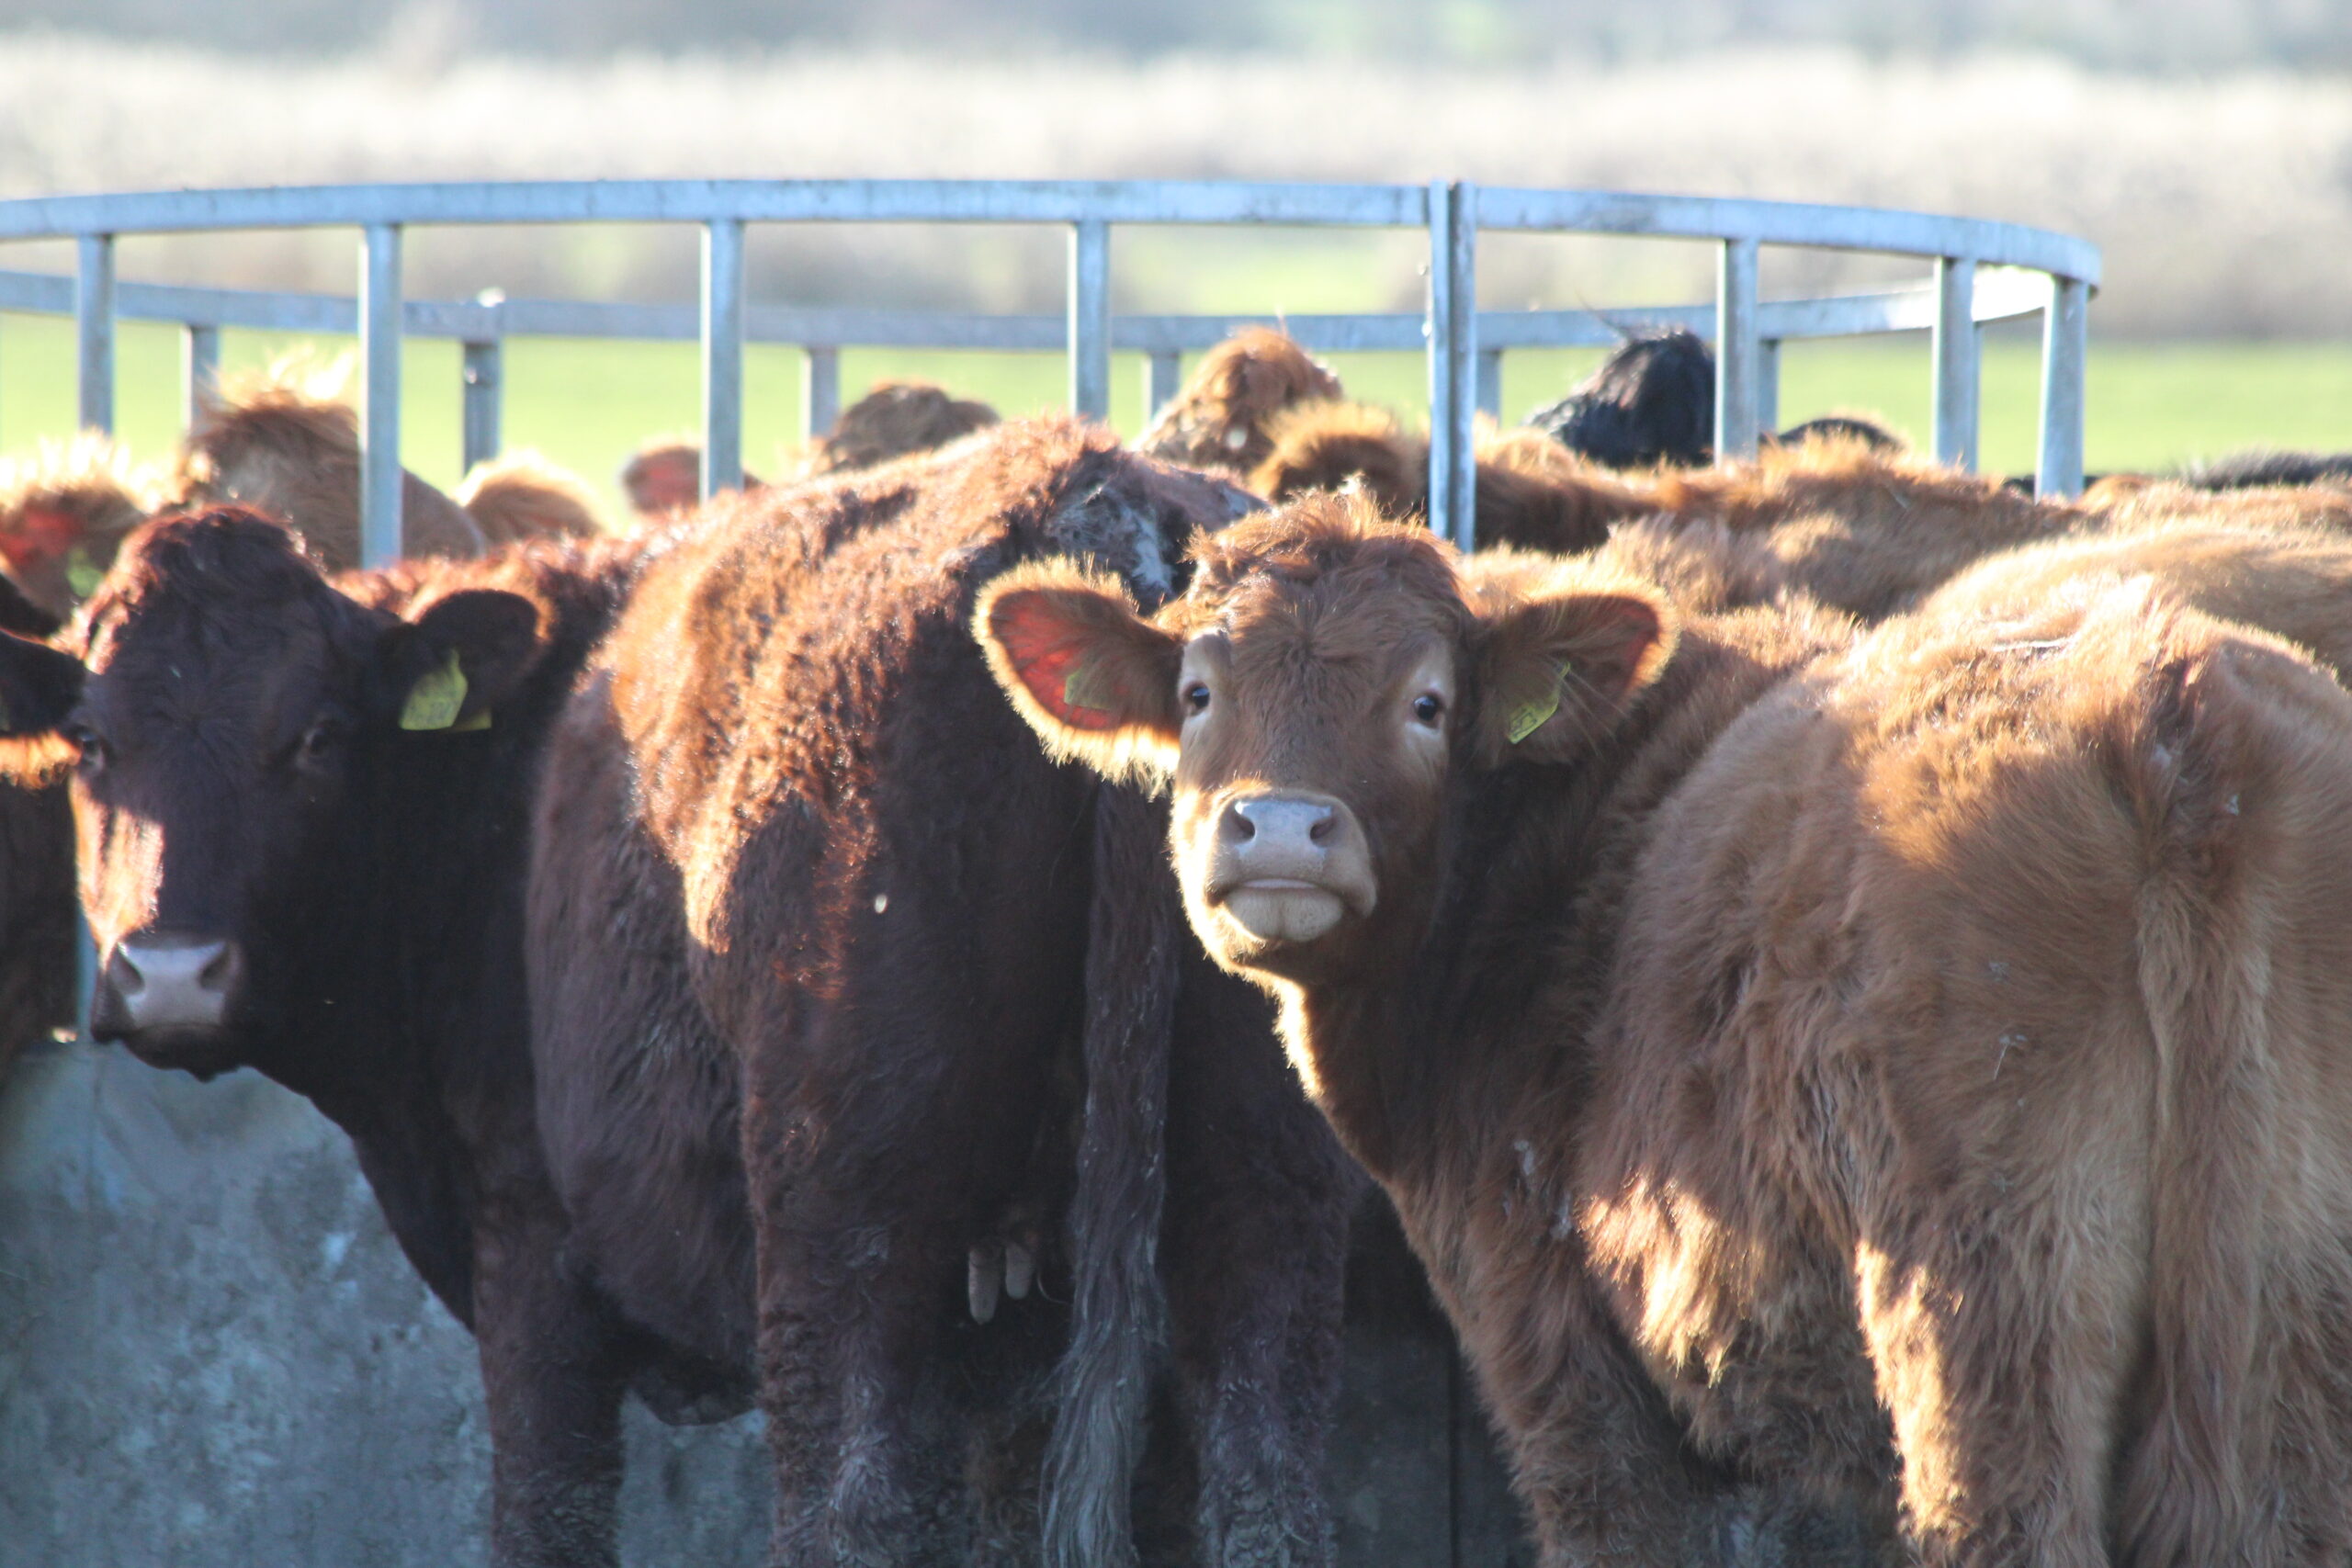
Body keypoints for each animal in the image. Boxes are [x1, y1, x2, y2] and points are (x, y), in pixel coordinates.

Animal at [977, 494, 2352, 1566]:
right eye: (1199, 690)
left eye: (1427, 702)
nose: (1277, 829)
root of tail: (2162, 699)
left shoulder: (1555, 1348)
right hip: (2292, 1319)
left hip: (1991, 1301)